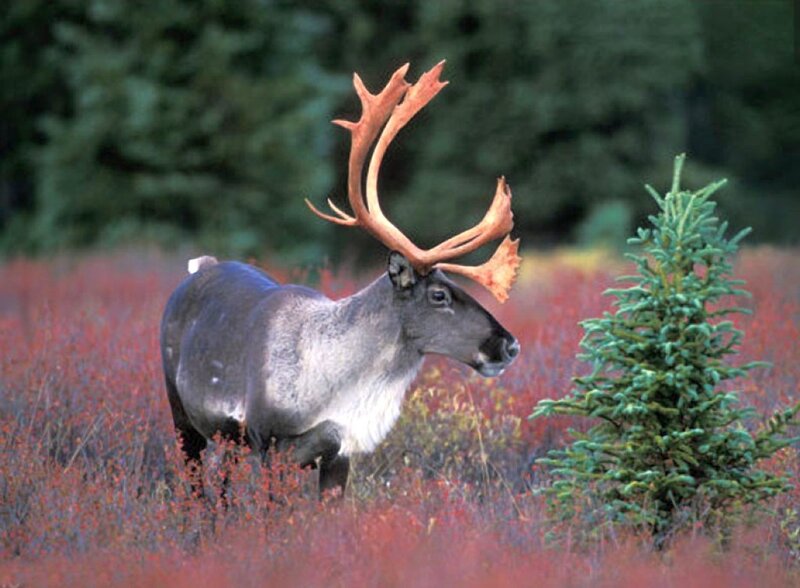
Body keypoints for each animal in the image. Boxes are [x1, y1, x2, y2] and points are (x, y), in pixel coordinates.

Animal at [160, 61, 521, 498]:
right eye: (439, 295)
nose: (509, 345)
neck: (339, 393)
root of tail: (201, 265)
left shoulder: (341, 452)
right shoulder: (268, 441)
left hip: (228, 438)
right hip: (183, 415)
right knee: (197, 485)